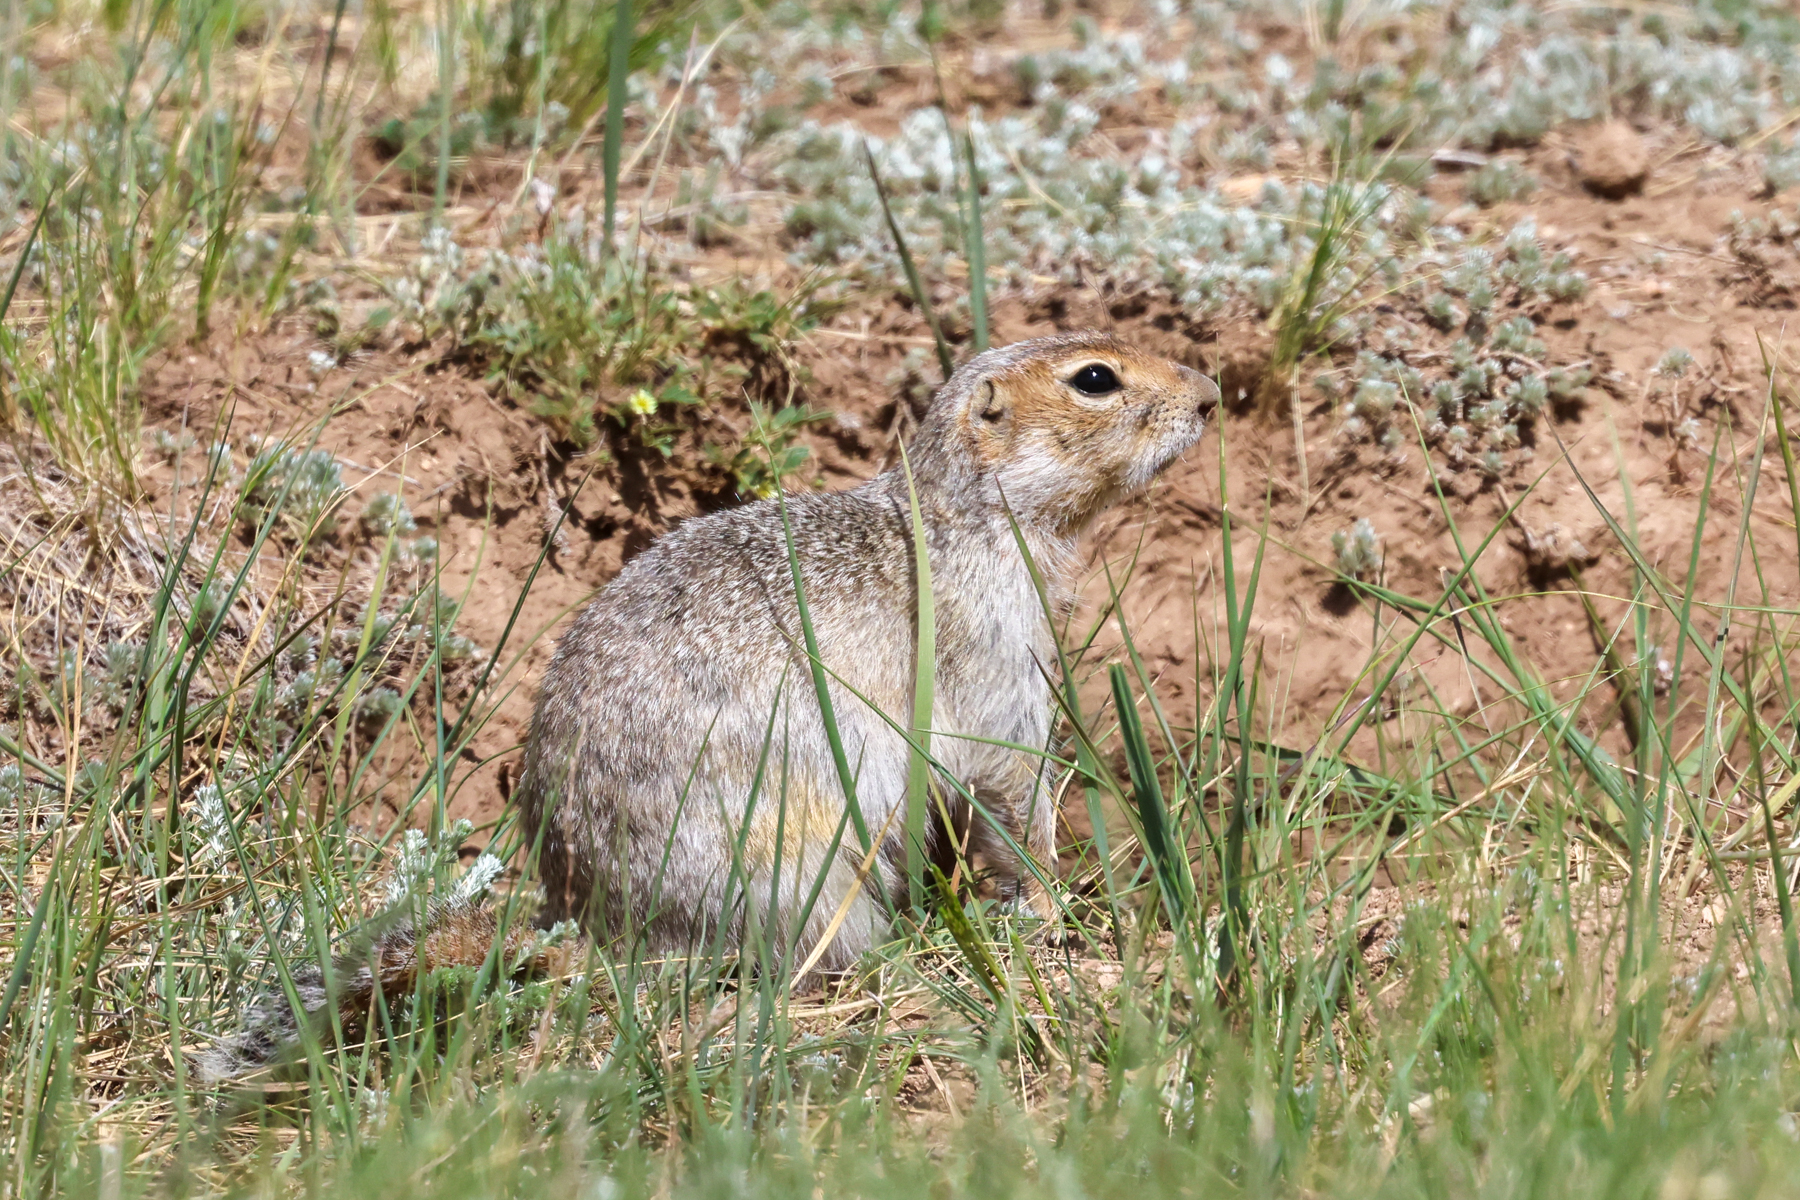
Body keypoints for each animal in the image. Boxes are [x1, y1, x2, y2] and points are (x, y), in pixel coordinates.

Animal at [201, 331, 1217, 1080]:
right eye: (1096, 378)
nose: (1210, 394)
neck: (965, 519)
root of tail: (600, 930)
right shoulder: (995, 658)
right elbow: (1006, 783)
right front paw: (1048, 902)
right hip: (801, 859)